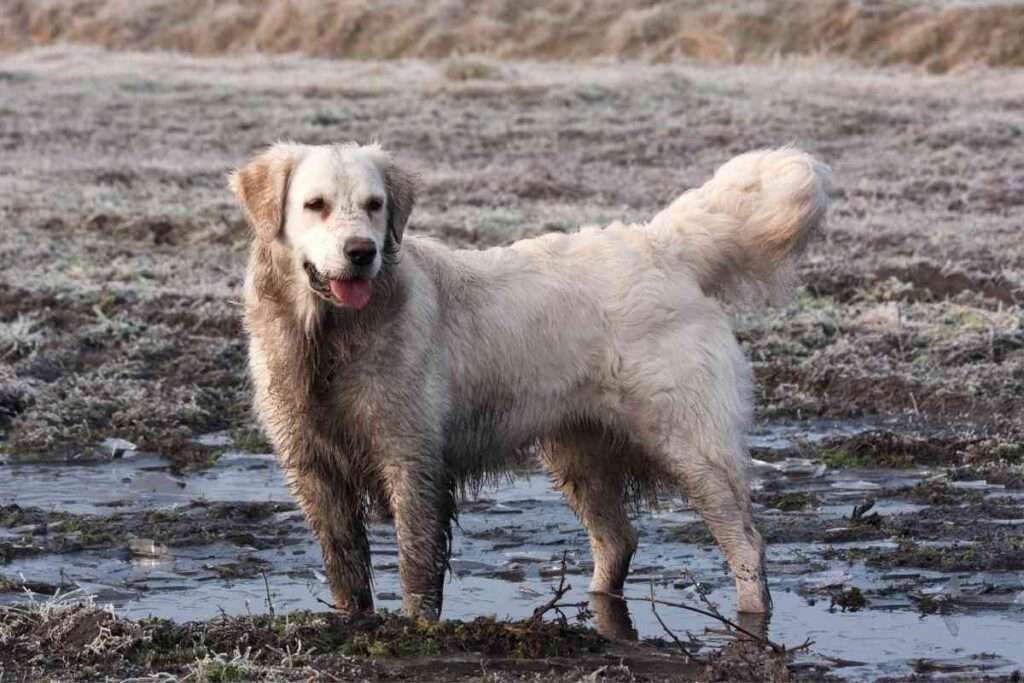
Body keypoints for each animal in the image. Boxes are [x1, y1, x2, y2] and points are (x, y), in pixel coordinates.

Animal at [228, 141, 827, 622]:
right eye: (316, 205)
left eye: (375, 206)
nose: (361, 252)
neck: (328, 340)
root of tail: (661, 244)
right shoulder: (313, 466)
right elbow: (344, 565)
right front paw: (353, 622)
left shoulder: (412, 457)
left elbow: (416, 563)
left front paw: (416, 630)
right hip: (578, 454)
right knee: (618, 539)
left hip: (693, 446)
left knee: (746, 544)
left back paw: (751, 617)